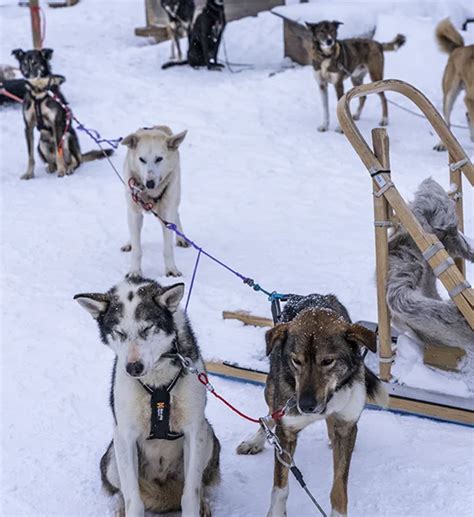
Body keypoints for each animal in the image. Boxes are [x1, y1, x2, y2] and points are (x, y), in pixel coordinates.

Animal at [75, 276, 221, 516]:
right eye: (119, 333)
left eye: (147, 328)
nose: (133, 367)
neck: (157, 383)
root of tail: (164, 489)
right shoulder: (125, 434)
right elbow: (133, 499)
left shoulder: (194, 431)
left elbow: (191, 494)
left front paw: (196, 505)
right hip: (113, 457)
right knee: (123, 491)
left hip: (208, 437)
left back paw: (204, 504)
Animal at [120, 125, 189, 278]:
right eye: (141, 159)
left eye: (159, 159)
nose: (150, 183)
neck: (149, 194)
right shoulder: (134, 213)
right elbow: (137, 249)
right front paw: (135, 271)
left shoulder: (167, 211)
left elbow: (168, 248)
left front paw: (171, 269)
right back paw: (129, 242)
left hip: (173, 198)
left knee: (176, 215)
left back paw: (181, 237)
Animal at [235, 294, 386, 516]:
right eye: (296, 361)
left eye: (328, 361)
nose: (305, 405)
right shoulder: (286, 431)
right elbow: (281, 486)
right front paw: (277, 512)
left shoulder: (346, 426)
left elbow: (339, 486)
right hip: (271, 390)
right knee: (268, 417)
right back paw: (255, 441)